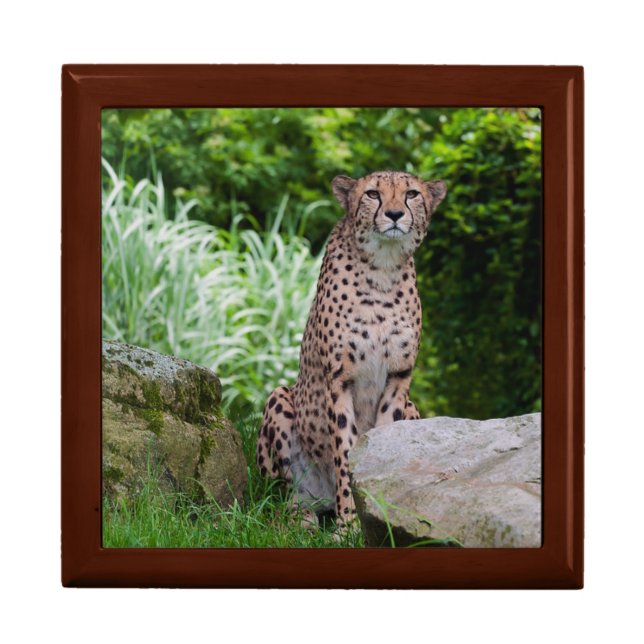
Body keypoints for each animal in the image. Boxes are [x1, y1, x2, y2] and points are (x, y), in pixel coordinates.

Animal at [256, 170, 447, 527]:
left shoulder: (398, 377)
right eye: (372, 194)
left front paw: (377, 510)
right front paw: (349, 524)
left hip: (413, 407)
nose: (395, 214)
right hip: (280, 400)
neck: (382, 269)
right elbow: (345, 451)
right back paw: (303, 518)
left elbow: (382, 444)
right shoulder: (340, 379)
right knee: (282, 499)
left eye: (412, 194)